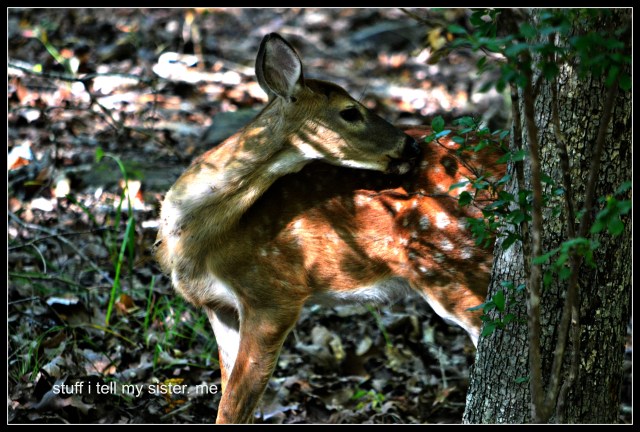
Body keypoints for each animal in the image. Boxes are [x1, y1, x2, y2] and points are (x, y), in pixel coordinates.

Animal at [155, 32, 505, 423]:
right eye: (350, 111)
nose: (411, 145)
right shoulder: (219, 305)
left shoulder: (274, 292)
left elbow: (234, 406)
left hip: (455, 264)